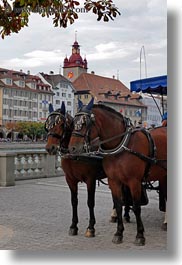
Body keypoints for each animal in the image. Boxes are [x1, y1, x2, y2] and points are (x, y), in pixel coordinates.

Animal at [45, 102, 131, 236]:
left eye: (60, 124)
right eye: (48, 125)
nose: (50, 148)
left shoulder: (90, 180)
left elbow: (90, 202)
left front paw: (90, 227)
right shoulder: (70, 180)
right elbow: (74, 201)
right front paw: (73, 225)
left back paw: (126, 214)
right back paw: (115, 215)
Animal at [68, 98, 168, 244]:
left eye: (85, 123)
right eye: (73, 122)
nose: (72, 148)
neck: (122, 145)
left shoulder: (134, 182)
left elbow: (136, 207)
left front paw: (140, 235)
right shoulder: (114, 181)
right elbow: (119, 204)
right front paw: (119, 233)